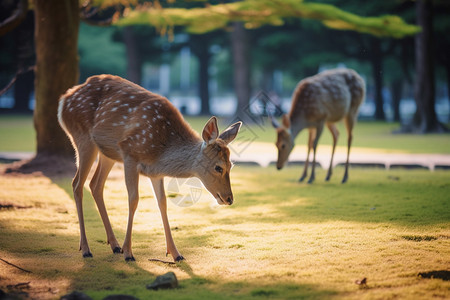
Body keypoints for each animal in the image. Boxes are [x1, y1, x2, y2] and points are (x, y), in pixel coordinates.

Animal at [59, 74, 243, 262]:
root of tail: (64, 99)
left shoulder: (155, 172)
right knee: (77, 184)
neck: (160, 149)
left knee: (95, 184)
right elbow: (133, 199)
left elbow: (162, 202)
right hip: (82, 137)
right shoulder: (129, 153)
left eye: (231, 165)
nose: (229, 199)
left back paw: (114, 245)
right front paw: (129, 252)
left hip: (107, 152)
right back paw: (86, 249)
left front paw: (176, 253)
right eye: (218, 167)